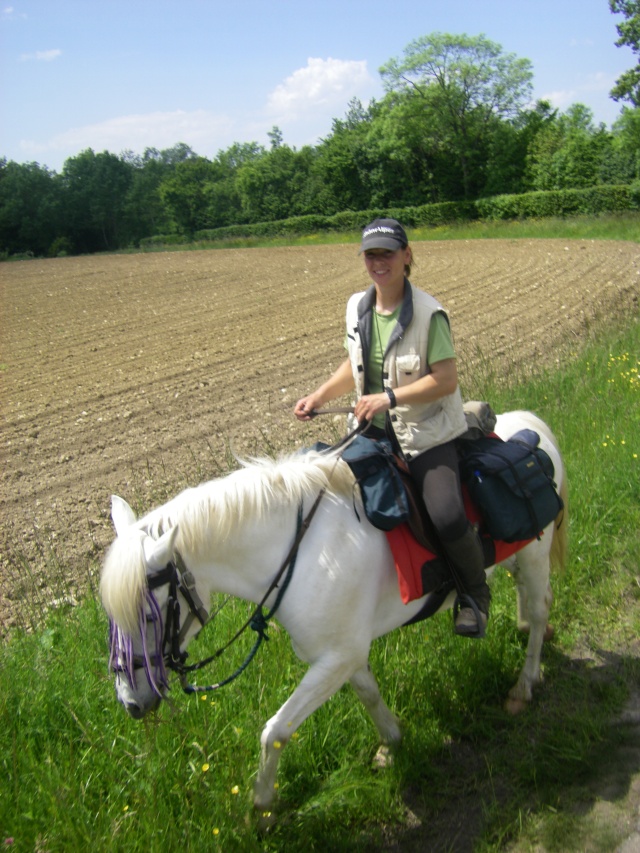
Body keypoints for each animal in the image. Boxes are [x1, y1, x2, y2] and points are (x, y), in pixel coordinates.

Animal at [102, 410, 568, 816]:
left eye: (148, 617)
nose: (131, 704)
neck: (301, 549)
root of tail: (534, 423)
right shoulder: (343, 654)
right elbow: (369, 694)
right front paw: (392, 743)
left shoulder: (335, 658)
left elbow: (275, 731)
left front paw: (263, 806)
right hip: (517, 555)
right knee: (527, 597)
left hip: (536, 555)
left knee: (541, 608)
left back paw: (524, 684)